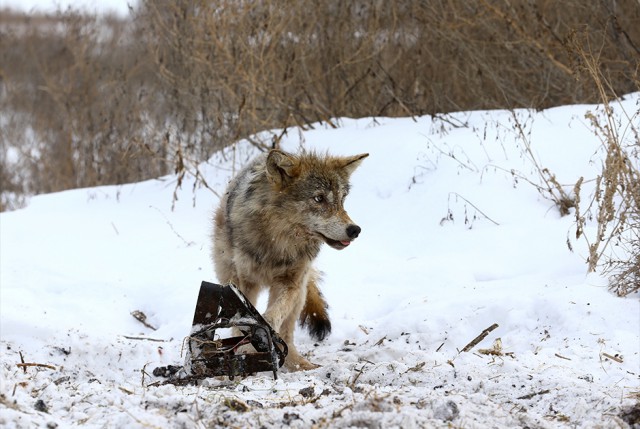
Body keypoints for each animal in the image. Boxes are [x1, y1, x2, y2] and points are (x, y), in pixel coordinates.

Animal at [212, 147, 368, 368]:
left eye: (342, 200)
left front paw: (260, 337)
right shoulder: (247, 282)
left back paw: (298, 364)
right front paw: (245, 345)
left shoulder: (291, 282)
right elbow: (244, 318)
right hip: (229, 276)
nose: (355, 230)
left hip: (300, 293)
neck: (279, 243)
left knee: (287, 332)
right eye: (319, 198)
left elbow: (273, 315)